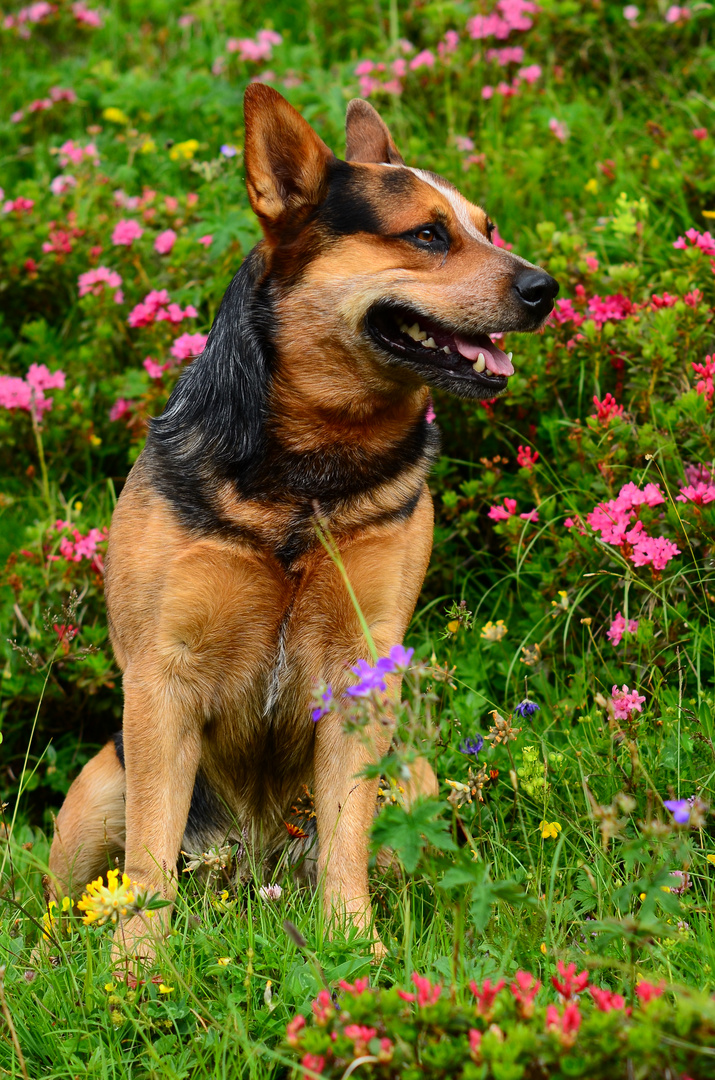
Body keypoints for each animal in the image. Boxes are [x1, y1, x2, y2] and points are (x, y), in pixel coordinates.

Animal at [47, 86, 561, 963]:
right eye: (427, 234)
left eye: (487, 227)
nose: (545, 288)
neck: (312, 468)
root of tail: (250, 864)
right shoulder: (161, 675)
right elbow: (149, 855)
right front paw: (138, 964)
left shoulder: (360, 669)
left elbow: (347, 836)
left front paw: (353, 944)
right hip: (96, 787)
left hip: (412, 775)